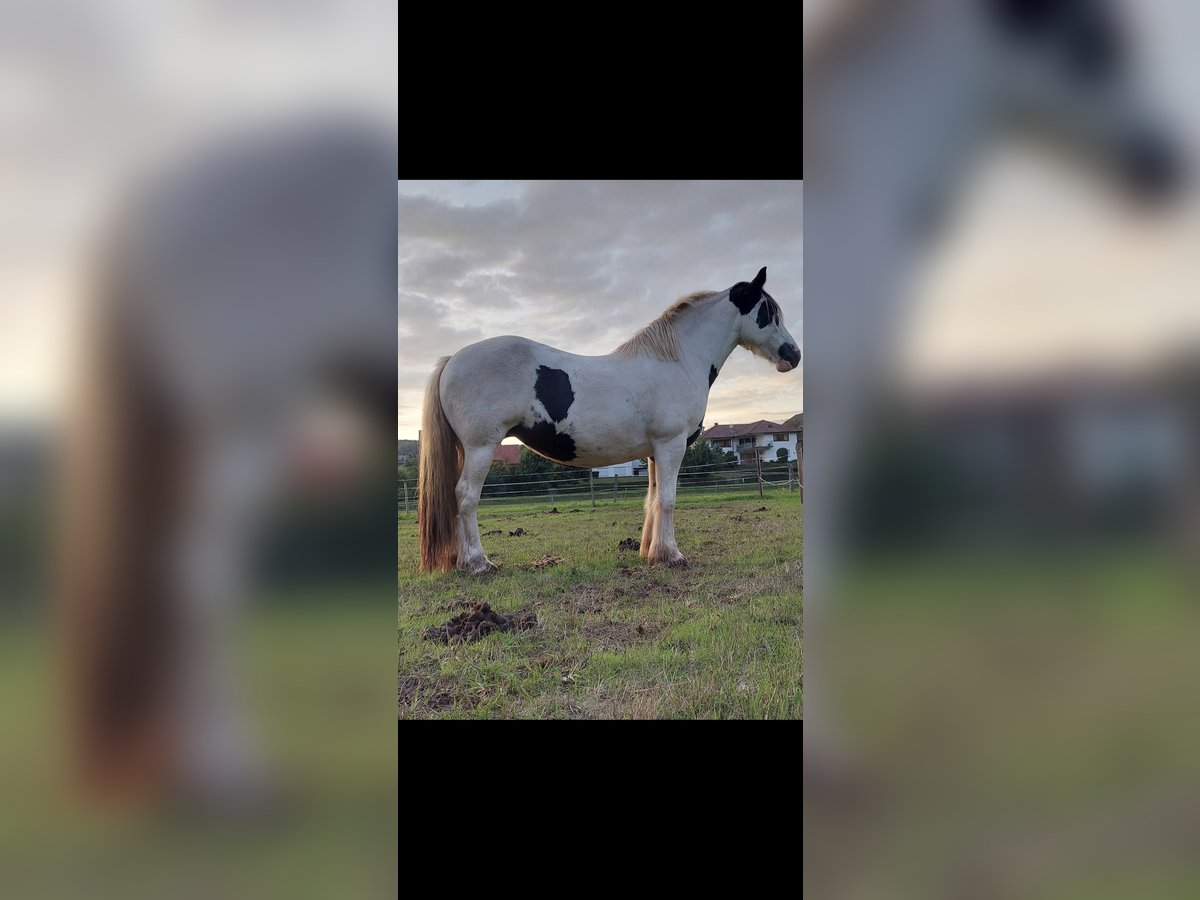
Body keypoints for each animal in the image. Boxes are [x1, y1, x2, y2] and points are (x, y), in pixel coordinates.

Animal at [417, 266, 800, 575]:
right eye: (767, 312)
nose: (793, 355)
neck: (676, 361)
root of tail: (453, 359)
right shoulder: (672, 444)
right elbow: (668, 499)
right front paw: (673, 556)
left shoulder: (653, 451)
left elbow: (652, 499)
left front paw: (652, 553)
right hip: (481, 447)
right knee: (466, 497)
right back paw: (479, 563)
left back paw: (463, 562)